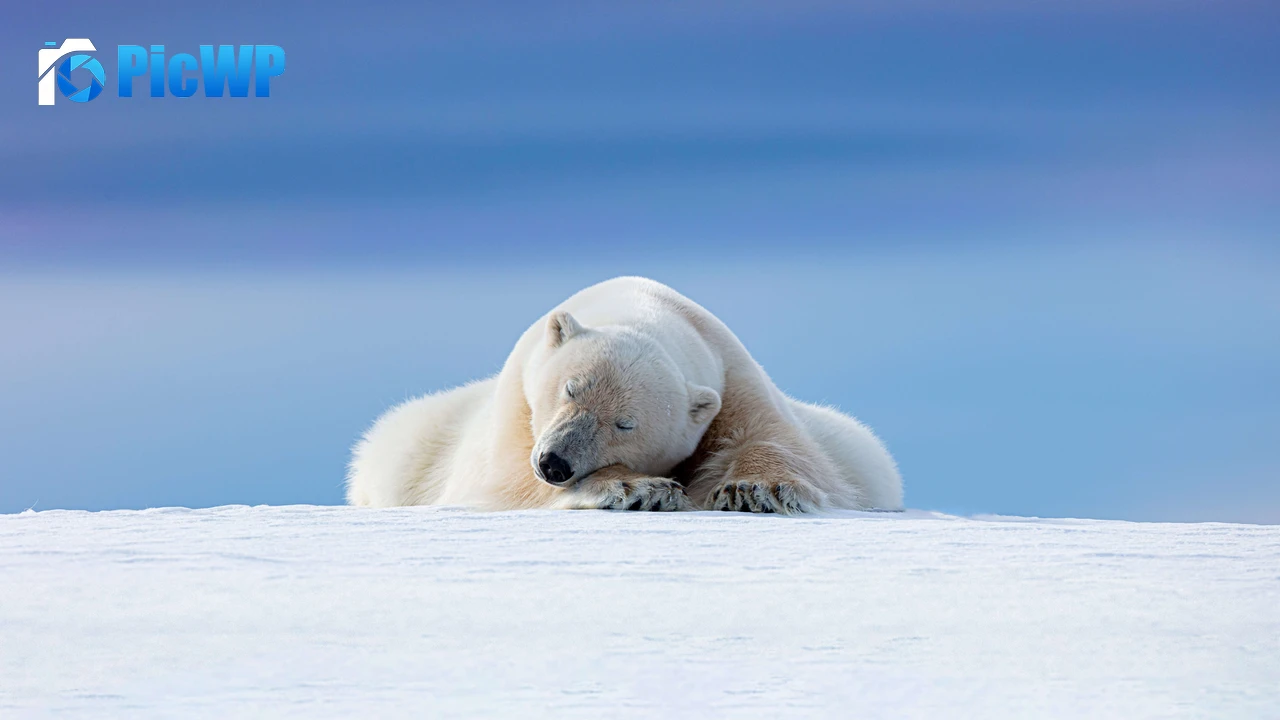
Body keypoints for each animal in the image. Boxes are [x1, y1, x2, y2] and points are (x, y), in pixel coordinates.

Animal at [347, 277, 902, 513]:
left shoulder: (732, 376)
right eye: (570, 389)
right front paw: (640, 488)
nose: (555, 463)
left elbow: (782, 443)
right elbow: (504, 480)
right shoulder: (517, 406)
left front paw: (750, 488)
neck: (641, 307)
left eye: (625, 424)